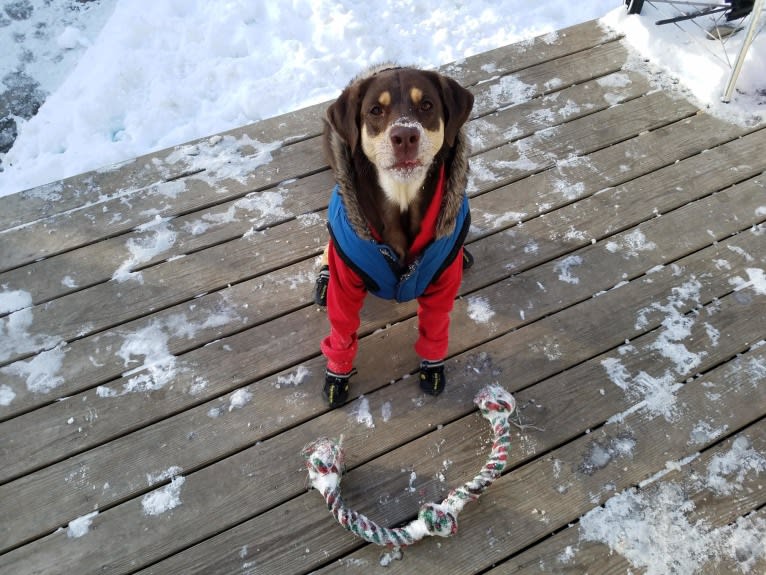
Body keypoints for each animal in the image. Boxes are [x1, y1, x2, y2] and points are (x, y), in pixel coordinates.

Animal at [314, 64, 474, 410]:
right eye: (376, 110)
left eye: (426, 105)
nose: (405, 136)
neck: (402, 200)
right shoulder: (345, 284)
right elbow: (342, 331)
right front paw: (337, 375)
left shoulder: (442, 288)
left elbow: (435, 327)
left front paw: (432, 366)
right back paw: (322, 274)